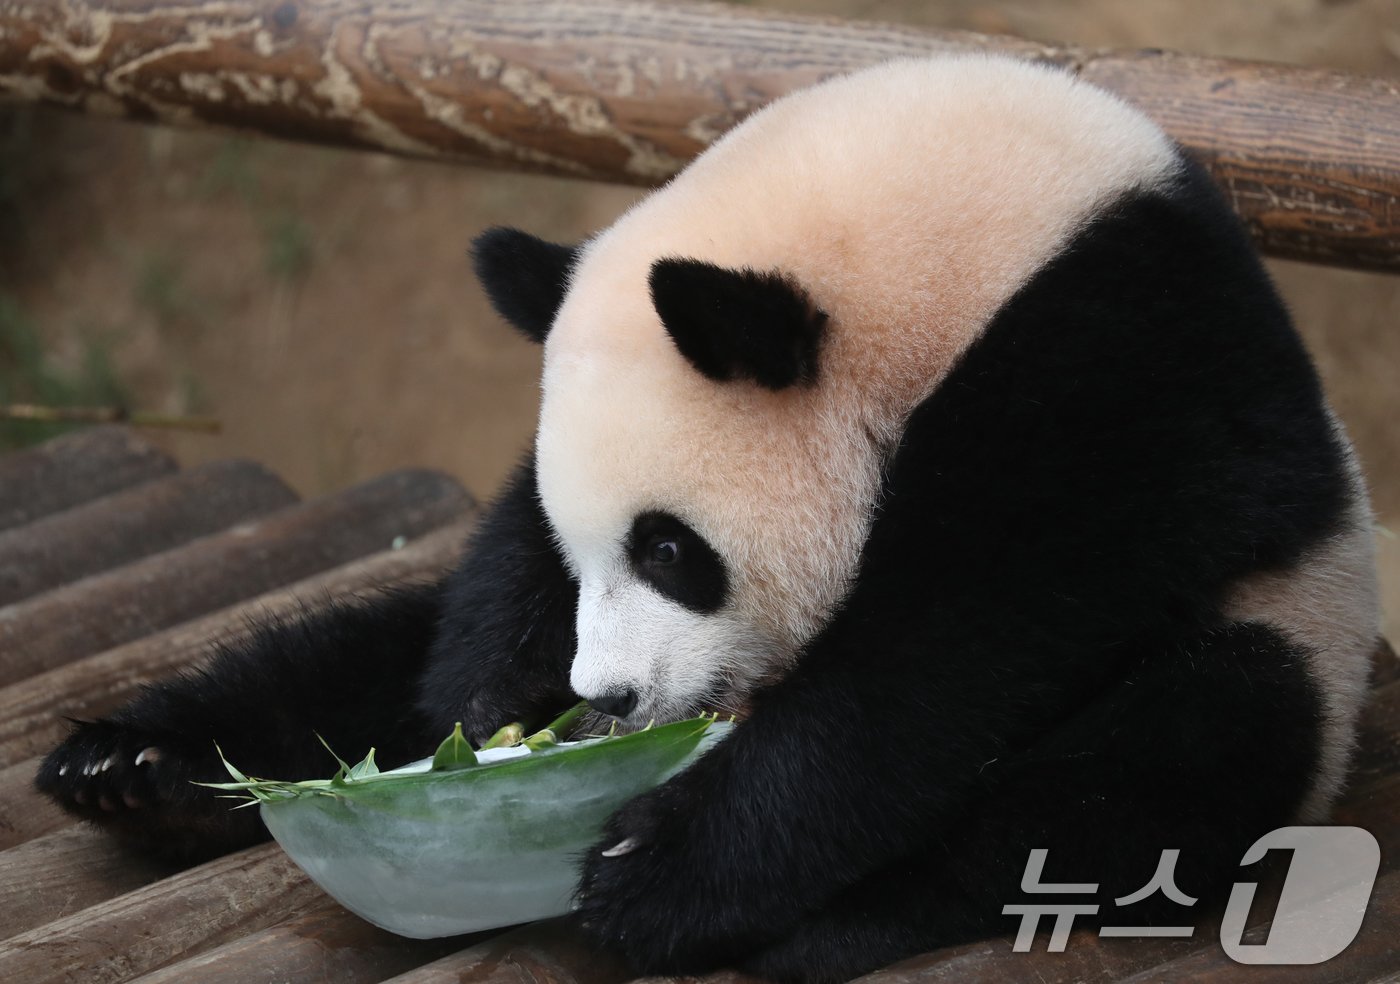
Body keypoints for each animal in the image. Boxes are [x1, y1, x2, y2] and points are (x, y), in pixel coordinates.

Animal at [32, 55, 1377, 984]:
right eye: (584, 548)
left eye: (670, 551)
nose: (607, 697)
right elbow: (487, 572)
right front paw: (494, 711)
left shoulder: (1128, 366)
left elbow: (963, 637)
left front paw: (656, 867)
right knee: (351, 652)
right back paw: (134, 769)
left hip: (1290, 641)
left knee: (1163, 751)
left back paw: (834, 915)